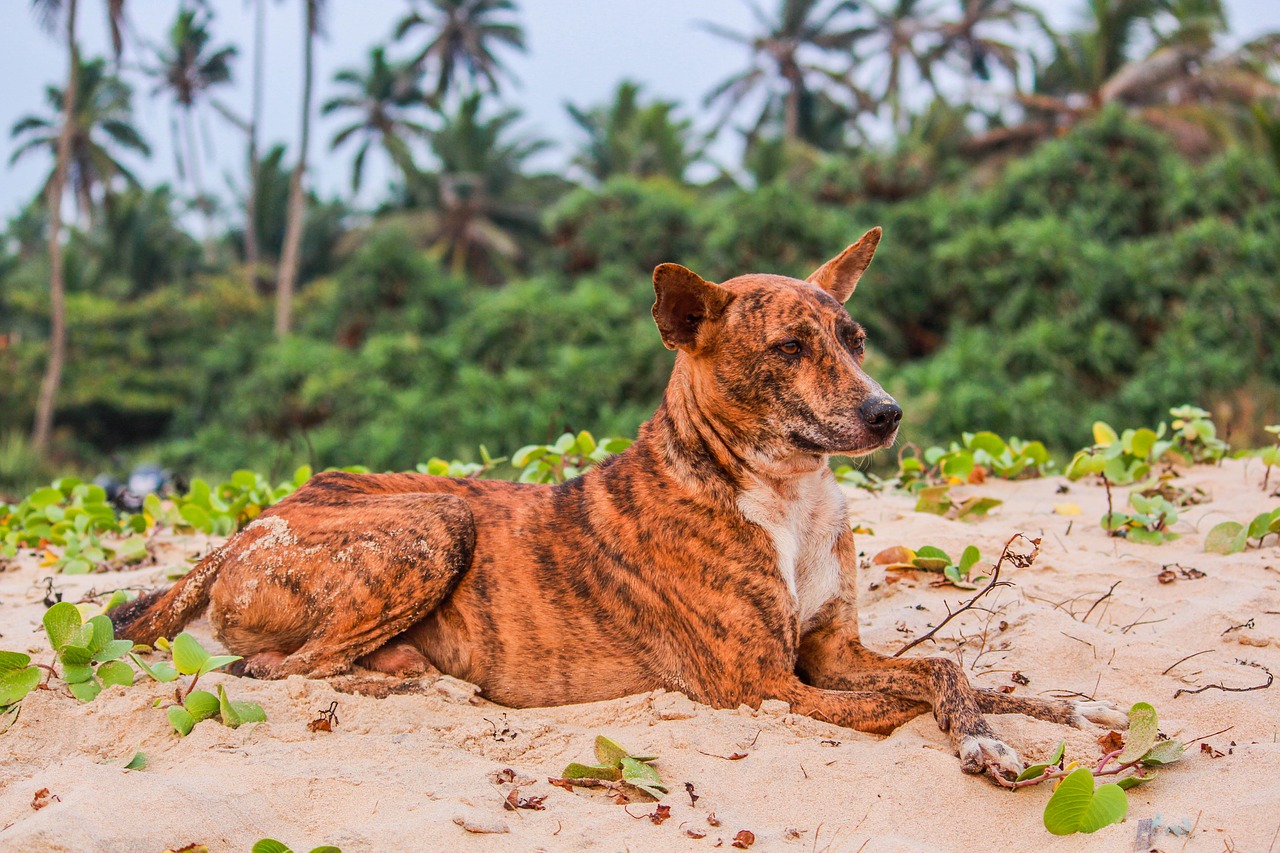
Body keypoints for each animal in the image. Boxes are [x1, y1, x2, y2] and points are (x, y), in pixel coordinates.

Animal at [117, 227, 1121, 778]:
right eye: (790, 347)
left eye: (854, 336)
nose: (887, 414)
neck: (784, 494)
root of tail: (241, 531)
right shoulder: (764, 686)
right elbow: (900, 706)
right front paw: (981, 740)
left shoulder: (834, 651)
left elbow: (950, 668)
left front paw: (1041, 714)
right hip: (438, 518)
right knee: (282, 670)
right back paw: (418, 680)